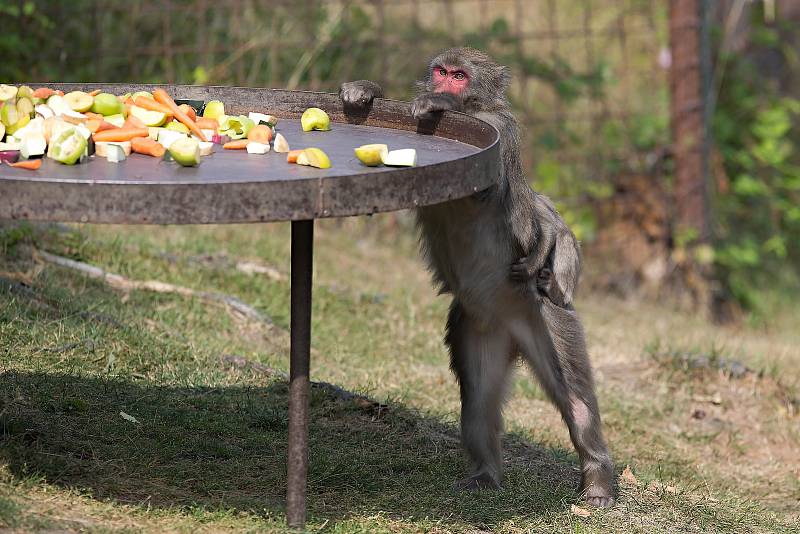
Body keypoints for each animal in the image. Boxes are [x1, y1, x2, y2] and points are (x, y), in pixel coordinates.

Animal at [340, 48, 612, 508]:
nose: (443, 85)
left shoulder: (499, 132)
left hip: (546, 316)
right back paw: (486, 474)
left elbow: (494, 190)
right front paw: (365, 90)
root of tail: (511, 325)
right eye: (440, 71)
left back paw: (597, 483)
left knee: (576, 401)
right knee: (478, 404)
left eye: (459, 76)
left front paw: (438, 104)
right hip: (477, 328)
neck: (475, 109)